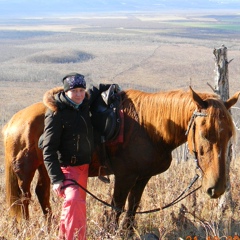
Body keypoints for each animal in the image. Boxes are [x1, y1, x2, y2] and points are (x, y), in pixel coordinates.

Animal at [2, 86, 240, 231]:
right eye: (205, 134)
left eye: (230, 134)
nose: (217, 189)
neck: (149, 128)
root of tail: (14, 121)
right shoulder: (124, 177)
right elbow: (117, 206)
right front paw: (112, 231)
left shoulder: (142, 177)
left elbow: (133, 205)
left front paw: (127, 231)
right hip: (26, 171)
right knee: (23, 198)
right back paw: (27, 227)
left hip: (46, 166)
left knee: (41, 193)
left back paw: (50, 226)